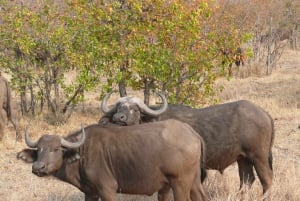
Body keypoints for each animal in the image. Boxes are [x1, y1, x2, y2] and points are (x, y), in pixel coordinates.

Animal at [17, 120, 207, 200]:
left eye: (56, 149)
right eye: (39, 149)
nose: (38, 167)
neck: (83, 153)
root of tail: (193, 133)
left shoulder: (108, 190)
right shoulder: (90, 193)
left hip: (179, 183)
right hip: (193, 182)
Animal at [100, 93, 274, 195]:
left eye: (135, 109)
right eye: (118, 107)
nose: (118, 118)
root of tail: (264, 113)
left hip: (259, 156)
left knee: (267, 179)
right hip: (243, 159)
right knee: (247, 180)